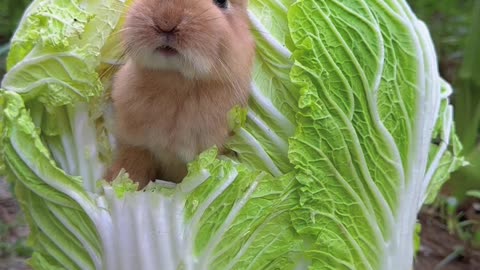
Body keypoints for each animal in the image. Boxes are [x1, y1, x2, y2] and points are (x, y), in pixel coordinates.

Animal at [104, 0, 255, 189]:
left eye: (222, 3)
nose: (166, 21)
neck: (176, 81)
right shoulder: (136, 144)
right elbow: (132, 166)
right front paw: (116, 184)